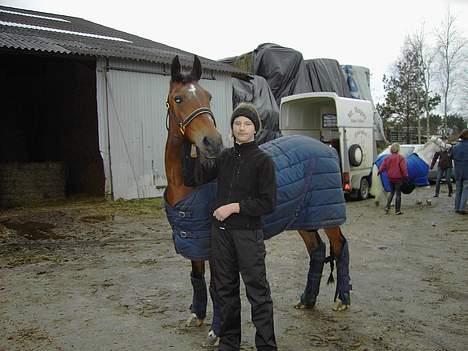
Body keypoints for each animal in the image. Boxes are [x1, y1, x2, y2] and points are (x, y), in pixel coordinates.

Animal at [165, 55, 352, 346]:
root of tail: (328, 148)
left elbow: (217, 287)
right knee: (317, 250)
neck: (187, 183)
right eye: (178, 98)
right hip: (302, 218)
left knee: (340, 246)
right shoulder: (195, 242)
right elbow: (197, 277)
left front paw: (216, 332)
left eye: (208, 96)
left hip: (327, 216)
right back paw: (307, 300)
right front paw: (196, 315)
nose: (212, 142)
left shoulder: (213, 245)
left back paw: (342, 300)